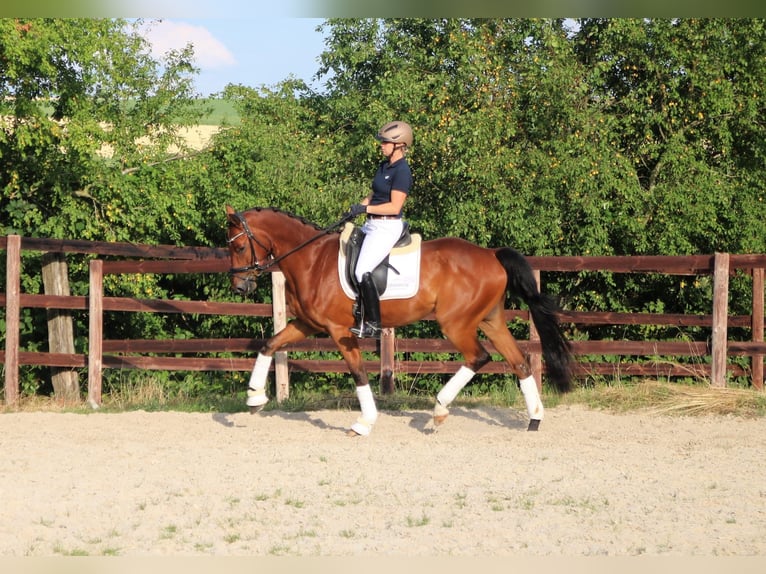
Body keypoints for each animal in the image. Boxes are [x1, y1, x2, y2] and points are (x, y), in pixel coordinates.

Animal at [225, 207, 572, 436]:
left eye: (239, 246)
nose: (240, 287)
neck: (312, 260)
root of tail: (490, 253)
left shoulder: (339, 331)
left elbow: (358, 373)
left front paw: (364, 423)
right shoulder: (307, 324)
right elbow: (269, 344)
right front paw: (255, 397)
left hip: (456, 323)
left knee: (479, 356)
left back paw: (439, 411)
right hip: (491, 320)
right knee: (520, 362)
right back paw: (534, 419)